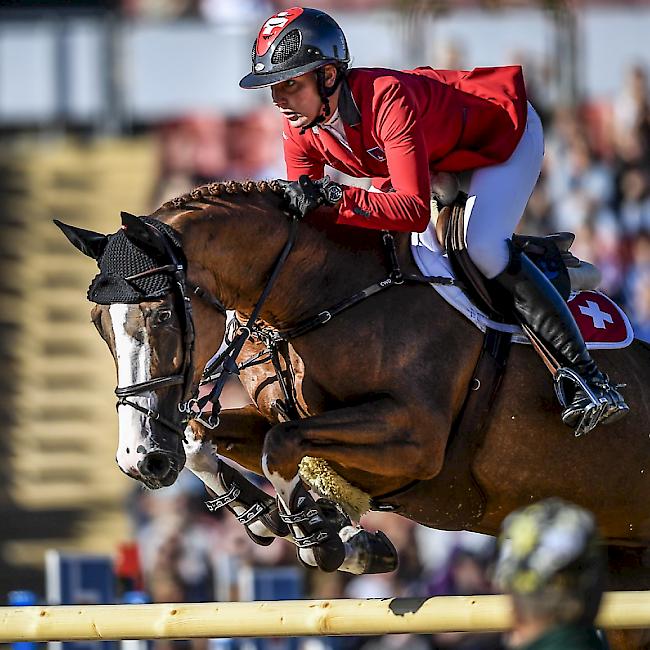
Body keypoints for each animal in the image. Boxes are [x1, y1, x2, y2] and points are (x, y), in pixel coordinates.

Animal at [57, 178, 648, 648]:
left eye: (159, 314)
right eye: (98, 324)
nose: (140, 460)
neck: (315, 297)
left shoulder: (416, 442)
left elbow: (280, 446)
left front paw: (324, 535)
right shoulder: (283, 418)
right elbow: (205, 438)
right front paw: (280, 518)